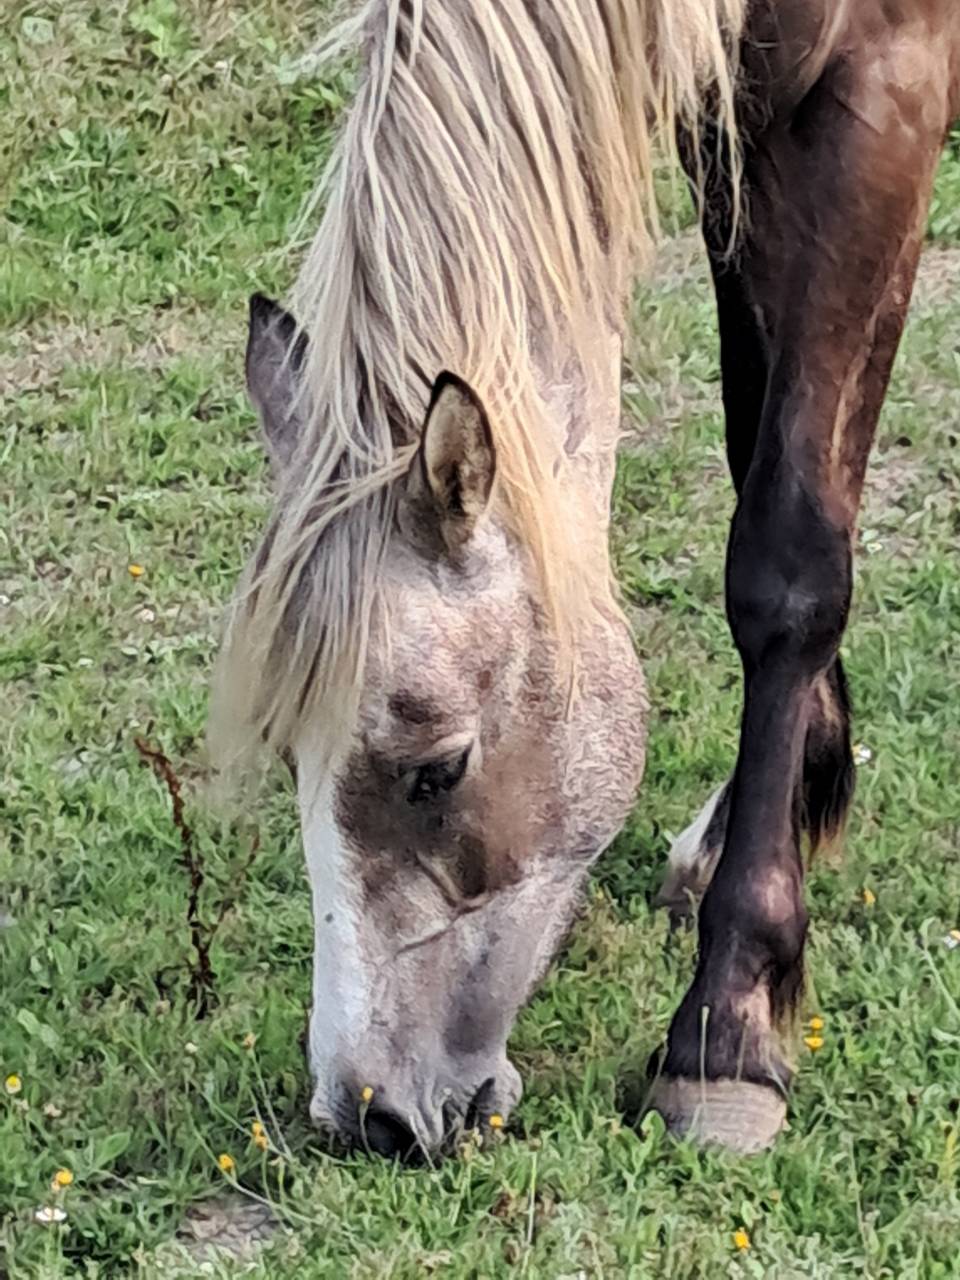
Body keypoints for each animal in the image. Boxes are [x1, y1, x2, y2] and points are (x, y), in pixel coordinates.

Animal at [210, 0, 960, 1159]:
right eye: (291, 755)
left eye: (438, 771)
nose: (369, 1115)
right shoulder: (731, 112)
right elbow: (764, 442)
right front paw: (785, 797)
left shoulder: (881, 87)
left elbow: (789, 554)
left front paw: (727, 1023)